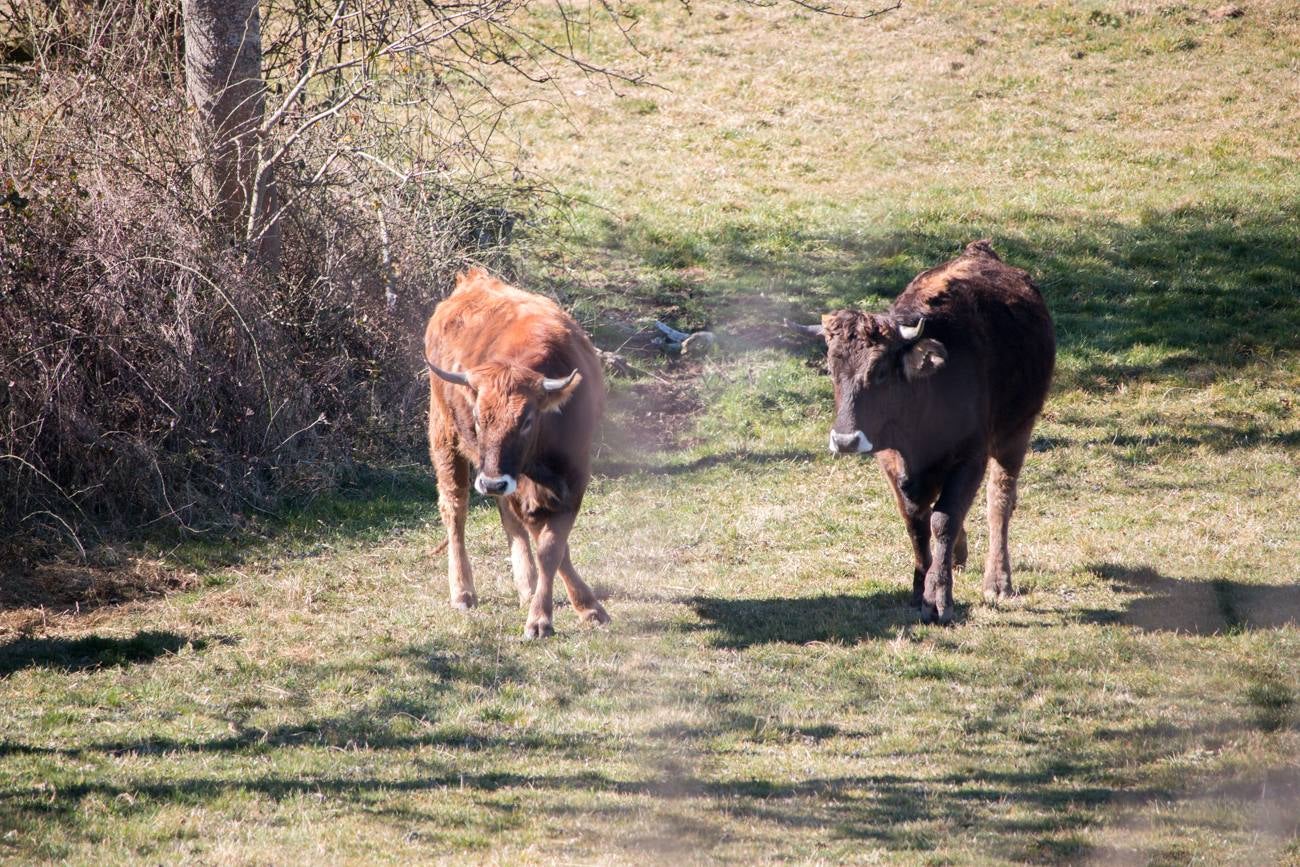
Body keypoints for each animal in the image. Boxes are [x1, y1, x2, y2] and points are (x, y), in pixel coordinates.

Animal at [423, 267, 611, 642]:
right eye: (478, 417)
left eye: (526, 420)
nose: (493, 483)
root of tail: (471, 282)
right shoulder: (520, 486)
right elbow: (549, 545)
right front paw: (543, 618)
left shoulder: (575, 478)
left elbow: (552, 547)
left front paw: (583, 608)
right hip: (445, 438)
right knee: (455, 508)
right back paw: (462, 591)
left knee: (508, 518)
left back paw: (525, 583)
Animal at [790, 240, 1055, 626]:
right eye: (831, 368)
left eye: (880, 369)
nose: (845, 440)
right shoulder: (892, 464)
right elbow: (917, 521)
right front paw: (920, 591)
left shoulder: (970, 458)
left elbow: (943, 519)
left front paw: (939, 598)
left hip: (1016, 432)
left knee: (999, 501)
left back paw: (997, 581)